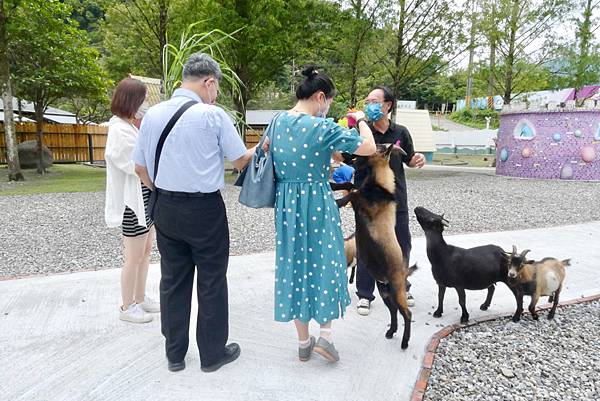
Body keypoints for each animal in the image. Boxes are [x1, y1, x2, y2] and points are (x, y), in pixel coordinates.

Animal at [336, 144, 414, 346]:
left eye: (378, 147)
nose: (348, 154)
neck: (380, 185)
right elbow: (352, 188)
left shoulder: (365, 204)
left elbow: (354, 193)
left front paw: (338, 201)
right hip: (385, 291)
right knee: (393, 310)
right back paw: (391, 331)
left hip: (397, 289)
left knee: (407, 313)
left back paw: (404, 342)